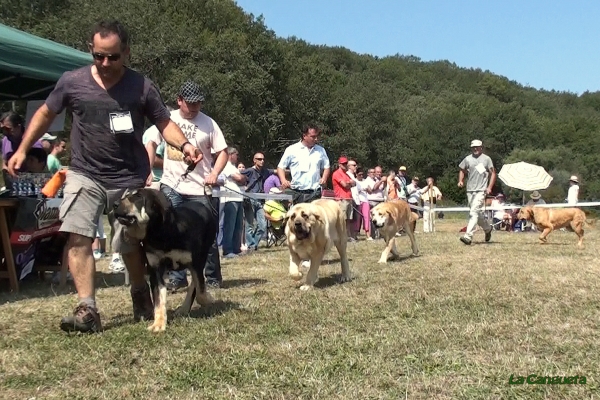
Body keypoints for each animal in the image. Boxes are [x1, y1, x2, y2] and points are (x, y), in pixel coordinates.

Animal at [113, 189, 216, 332]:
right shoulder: (156, 270)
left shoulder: (196, 264)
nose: (114, 204)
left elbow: (200, 292)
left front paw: (209, 300)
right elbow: (159, 301)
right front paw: (158, 323)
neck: (160, 234)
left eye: (138, 196)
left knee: (195, 285)